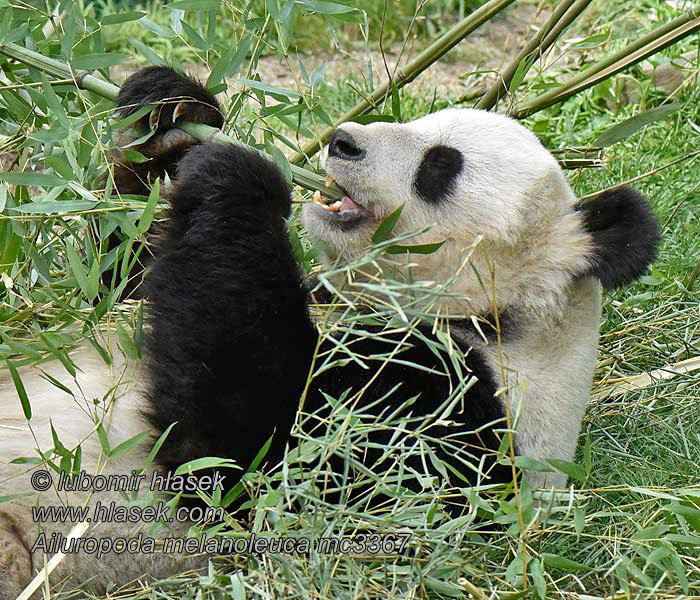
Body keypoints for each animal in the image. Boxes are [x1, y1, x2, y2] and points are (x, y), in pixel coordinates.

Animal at [0, 67, 656, 600]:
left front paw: (240, 172)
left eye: (439, 166)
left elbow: (246, 452)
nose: (342, 140)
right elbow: (117, 283)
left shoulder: (443, 416)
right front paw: (171, 113)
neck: (505, 321)